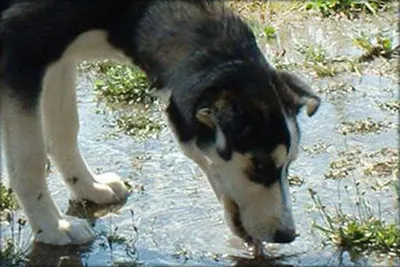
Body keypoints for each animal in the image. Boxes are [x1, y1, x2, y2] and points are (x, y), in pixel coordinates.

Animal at [0, 0, 318, 248]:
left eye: (290, 163)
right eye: (260, 165)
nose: (287, 235)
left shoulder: (59, 55)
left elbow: (64, 128)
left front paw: (88, 187)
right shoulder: (21, 47)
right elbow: (30, 158)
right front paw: (52, 227)